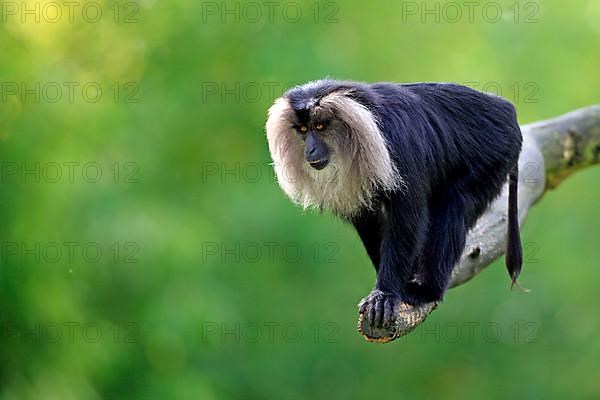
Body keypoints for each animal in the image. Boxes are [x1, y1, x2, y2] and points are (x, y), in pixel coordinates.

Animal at [264, 79, 524, 330]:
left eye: (319, 127)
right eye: (303, 130)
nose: (310, 150)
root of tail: (507, 110)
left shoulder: (399, 146)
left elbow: (407, 220)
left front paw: (386, 294)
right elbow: (368, 221)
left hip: (497, 154)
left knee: (454, 205)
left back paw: (426, 291)